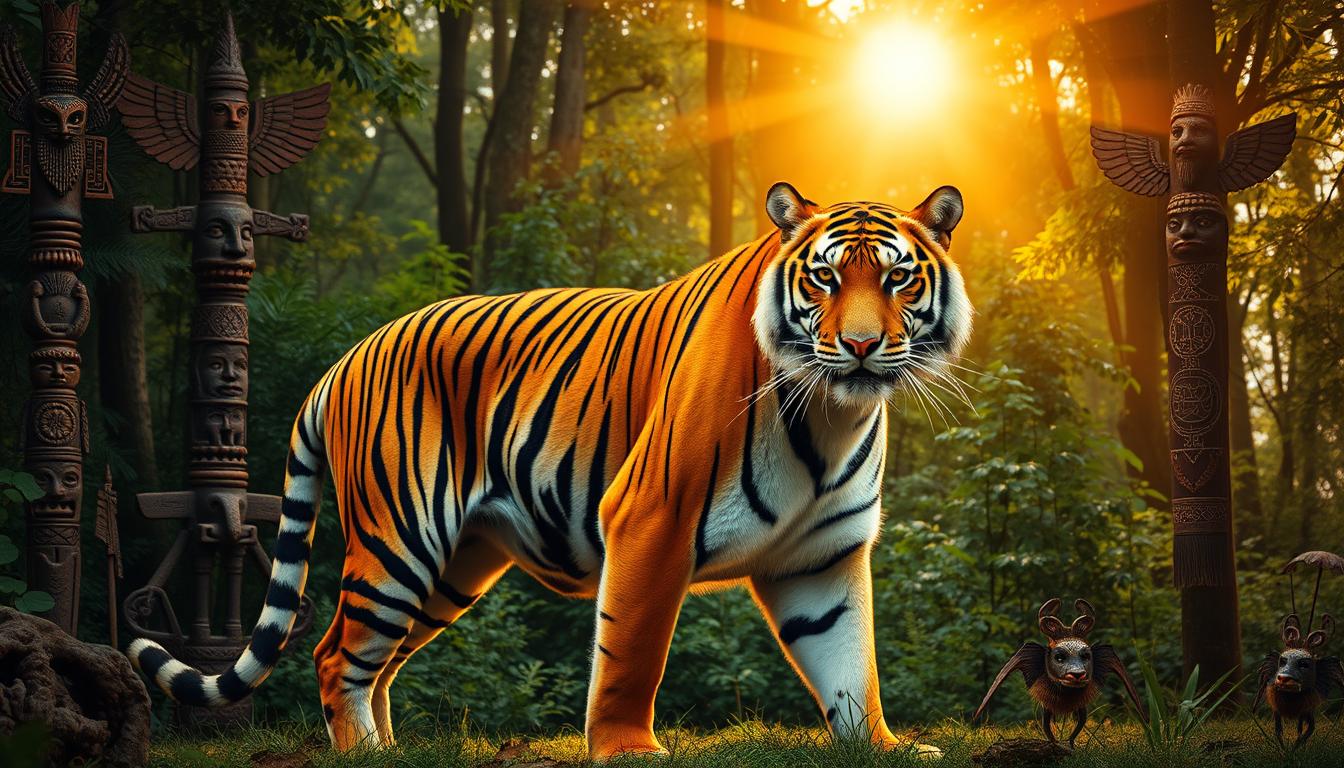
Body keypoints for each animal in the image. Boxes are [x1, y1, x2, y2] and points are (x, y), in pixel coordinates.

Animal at [129, 182, 971, 760]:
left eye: (897, 279)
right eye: (824, 280)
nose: (860, 347)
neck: (832, 415)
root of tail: (346, 358)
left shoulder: (823, 556)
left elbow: (849, 661)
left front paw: (883, 748)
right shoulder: (651, 520)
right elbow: (632, 651)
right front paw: (629, 750)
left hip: (454, 566)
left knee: (375, 658)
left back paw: (390, 750)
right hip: (401, 538)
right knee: (337, 651)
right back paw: (364, 755)